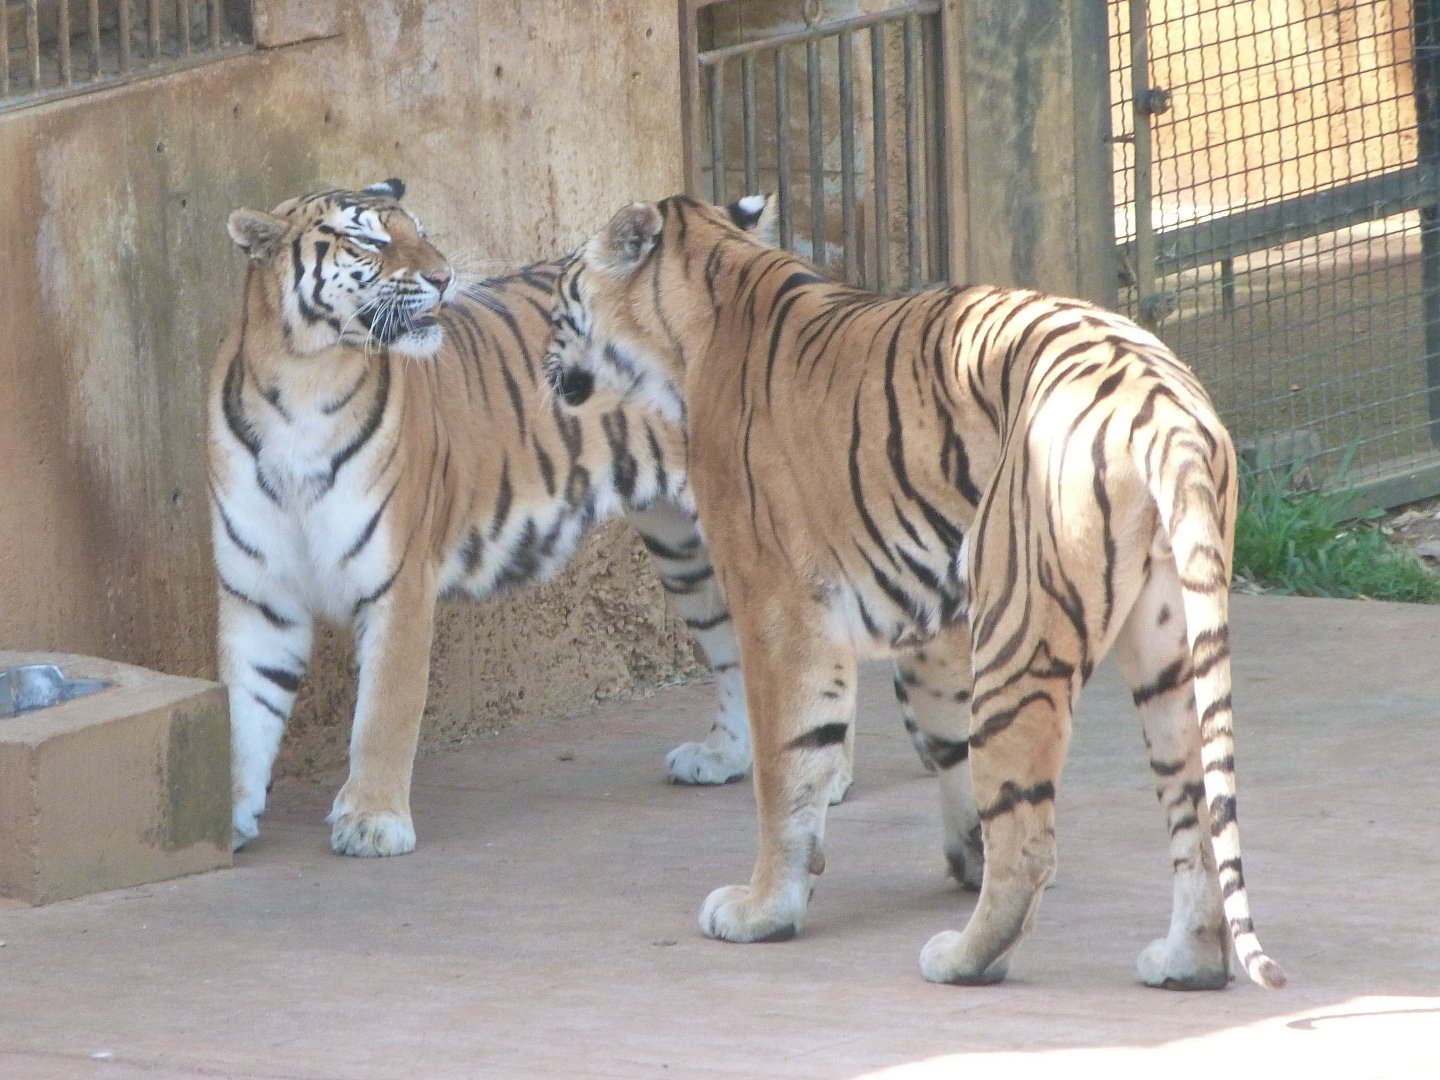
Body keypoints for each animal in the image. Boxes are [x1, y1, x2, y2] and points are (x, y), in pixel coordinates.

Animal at [209, 179, 771, 859]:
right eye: (368, 239)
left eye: (420, 231)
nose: (444, 275)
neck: (302, 383)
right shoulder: (258, 592)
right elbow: (243, 715)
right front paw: (225, 818)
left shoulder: (398, 582)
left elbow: (383, 713)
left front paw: (372, 820)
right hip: (683, 551)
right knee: (733, 644)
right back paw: (727, 757)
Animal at [541, 192, 1286, 991]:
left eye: (561, 294)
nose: (546, 362)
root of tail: (1162, 402)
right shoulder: (931, 618)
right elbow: (940, 735)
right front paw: (961, 854)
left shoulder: (779, 607)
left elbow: (787, 766)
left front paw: (764, 908)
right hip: (1167, 646)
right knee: (1195, 817)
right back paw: (1186, 962)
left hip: (1020, 630)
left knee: (1030, 834)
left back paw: (963, 957)